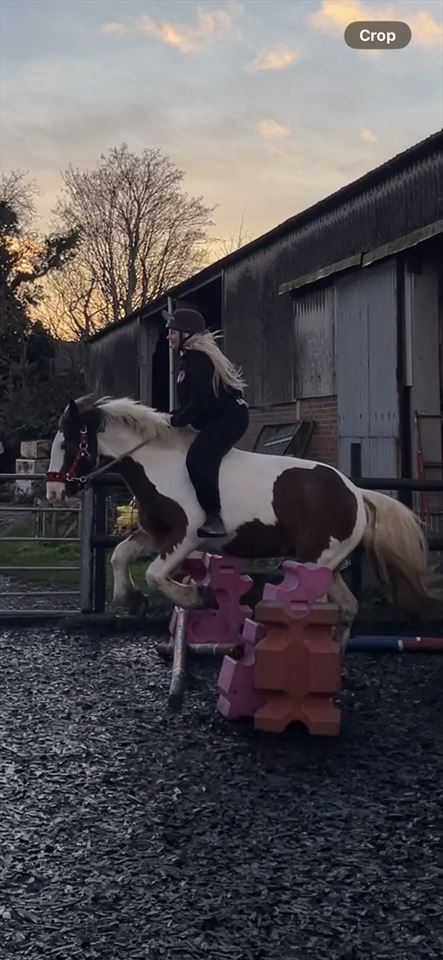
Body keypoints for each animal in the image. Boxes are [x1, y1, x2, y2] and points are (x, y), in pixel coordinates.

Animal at [46, 395, 435, 646]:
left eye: (66, 444)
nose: (53, 493)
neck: (160, 464)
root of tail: (355, 491)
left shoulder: (185, 536)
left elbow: (156, 574)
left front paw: (196, 597)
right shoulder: (156, 534)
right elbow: (119, 556)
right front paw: (132, 600)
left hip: (315, 560)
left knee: (326, 607)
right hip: (326, 563)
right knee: (348, 607)